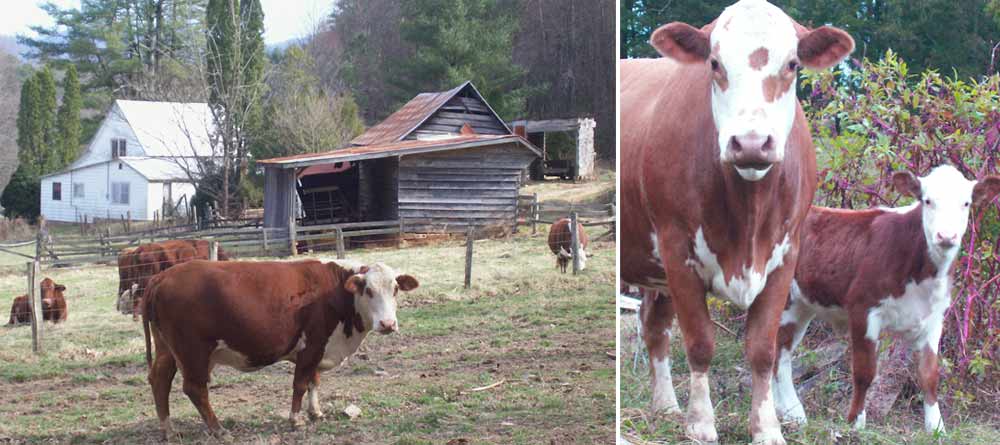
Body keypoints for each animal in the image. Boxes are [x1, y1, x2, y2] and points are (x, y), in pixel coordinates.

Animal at [142, 256, 418, 438]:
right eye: (368, 290)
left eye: (395, 289)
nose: (388, 324)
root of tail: (163, 276)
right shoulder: (312, 345)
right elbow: (300, 384)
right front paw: (296, 420)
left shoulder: (318, 349)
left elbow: (313, 381)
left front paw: (316, 413)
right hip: (193, 351)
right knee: (195, 389)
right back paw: (218, 429)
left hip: (167, 349)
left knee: (160, 380)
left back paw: (168, 429)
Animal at [620, 1, 856, 442]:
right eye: (714, 63)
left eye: (793, 63)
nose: (750, 143)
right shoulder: (677, 250)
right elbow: (700, 343)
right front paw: (700, 423)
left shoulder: (785, 256)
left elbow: (763, 349)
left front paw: (767, 427)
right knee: (657, 326)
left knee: (654, 323)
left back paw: (665, 405)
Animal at [772, 165, 1000, 432]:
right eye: (927, 200)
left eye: (966, 203)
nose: (946, 236)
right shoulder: (863, 308)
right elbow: (864, 371)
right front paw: (856, 422)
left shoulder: (934, 317)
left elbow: (929, 375)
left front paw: (936, 427)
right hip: (784, 302)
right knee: (776, 354)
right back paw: (792, 412)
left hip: (802, 305)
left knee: (780, 353)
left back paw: (788, 413)